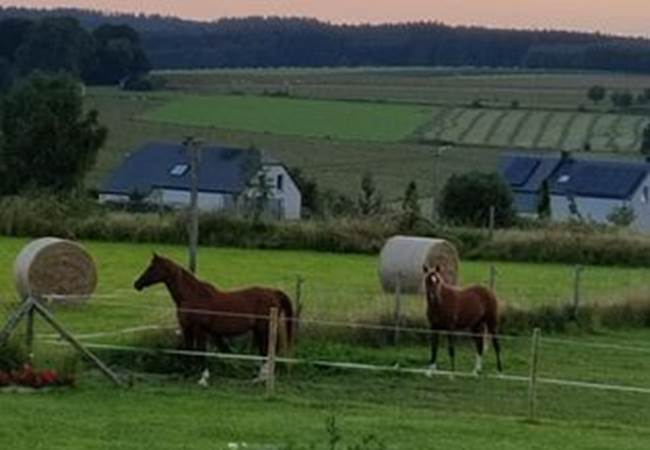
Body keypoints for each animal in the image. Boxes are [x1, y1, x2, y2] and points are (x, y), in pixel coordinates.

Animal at [133, 253, 295, 384]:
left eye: (152, 268)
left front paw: (203, 378)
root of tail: (273, 292)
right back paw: (260, 378)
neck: (192, 295)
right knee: (264, 351)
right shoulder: (187, 329)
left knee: (267, 351)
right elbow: (189, 350)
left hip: (263, 329)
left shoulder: (200, 330)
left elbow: (201, 351)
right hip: (258, 330)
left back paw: (264, 378)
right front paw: (187, 374)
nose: (137, 284)